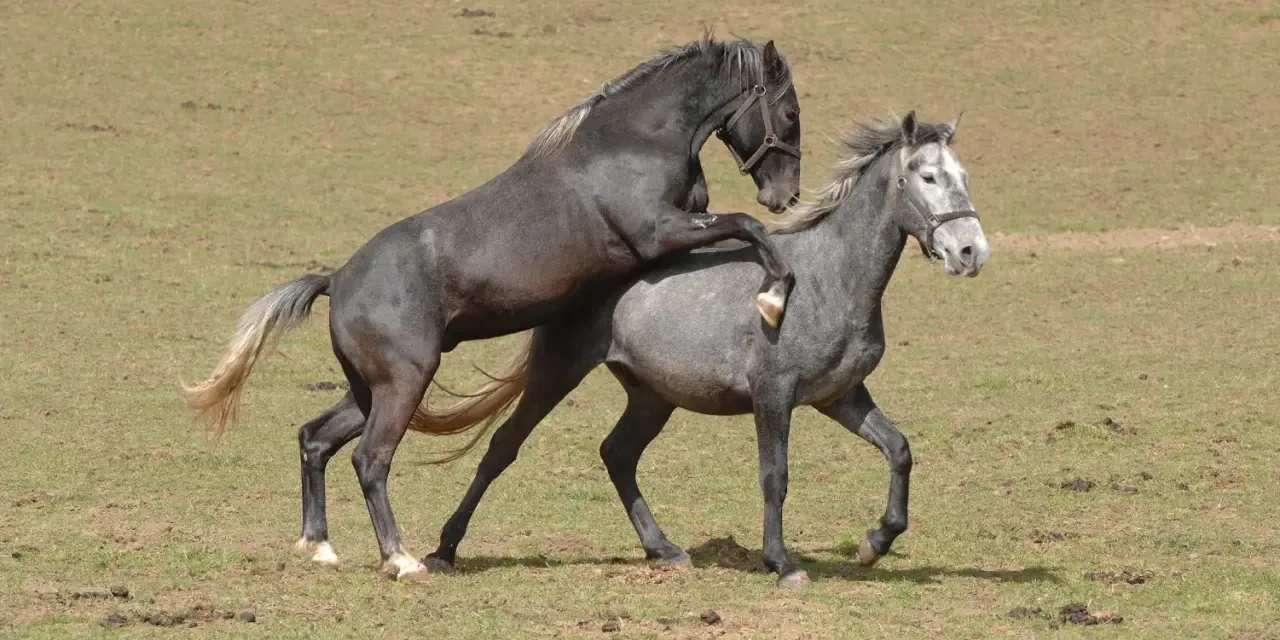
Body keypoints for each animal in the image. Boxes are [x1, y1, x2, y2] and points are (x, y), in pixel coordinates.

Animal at [180, 35, 804, 582]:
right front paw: (775, 294)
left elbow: (738, 227)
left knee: (315, 439)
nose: (786, 194)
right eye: (790, 112)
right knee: (370, 459)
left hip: (369, 389)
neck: (633, 141)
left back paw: (320, 546)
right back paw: (401, 559)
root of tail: (338, 279)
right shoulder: (662, 233)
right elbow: (746, 226)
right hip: (406, 382)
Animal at [409, 111, 991, 588]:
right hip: (557, 374)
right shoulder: (773, 395)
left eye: (964, 176)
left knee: (617, 454)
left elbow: (899, 450)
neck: (830, 279)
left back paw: (663, 549)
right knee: (504, 446)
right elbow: (775, 477)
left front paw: (876, 542)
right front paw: (783, 565)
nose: (971, 252)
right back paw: (443, 550)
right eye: (927, 176)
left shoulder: (839, 397)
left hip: (652, 396)